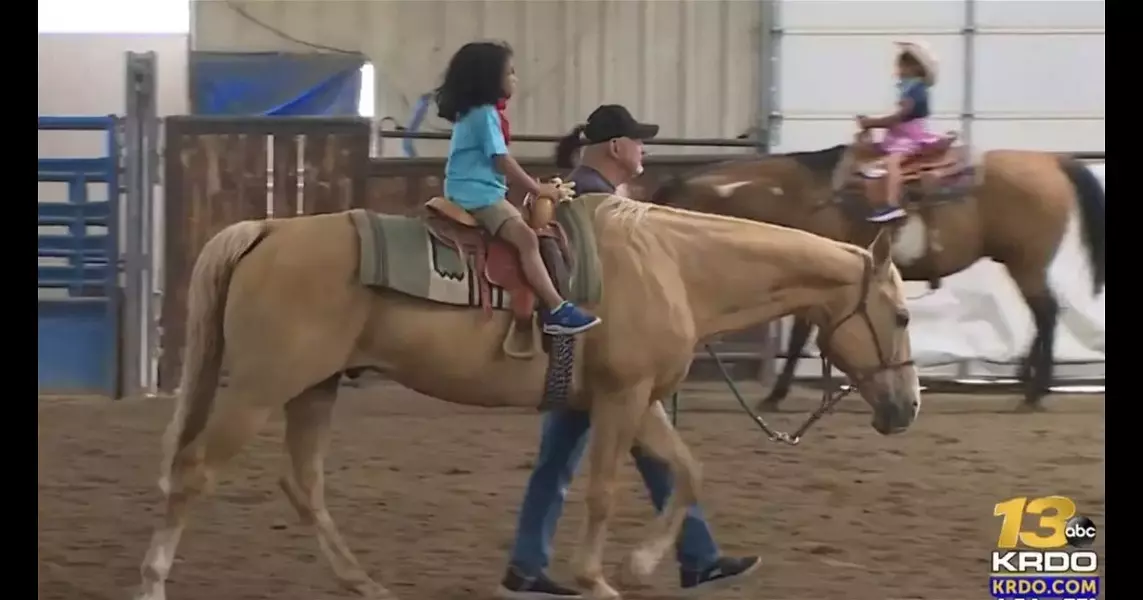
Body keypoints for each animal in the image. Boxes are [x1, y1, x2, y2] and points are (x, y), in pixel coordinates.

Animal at [133, 194, 918, 594]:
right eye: (904, 316)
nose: (906, 409)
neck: (671, 263)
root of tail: (267, 229)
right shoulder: (621, 399)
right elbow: (601, 491)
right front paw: (600, 577)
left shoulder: (639, 402)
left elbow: (687, 473)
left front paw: (642, 565)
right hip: (261, 387)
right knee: (193, 473)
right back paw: (154, 580)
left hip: (315, 388)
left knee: (303, 485)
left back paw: (365, 585)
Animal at [653, 136, 1106, 409]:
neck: (798, 197)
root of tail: (1051, 162)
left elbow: (801, 334)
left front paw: (777, 394)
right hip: (1023, 264)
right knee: (1044, 314)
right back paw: (1026, 380)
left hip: (1026, 263)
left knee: (1047, 313)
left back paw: (1035, 390)